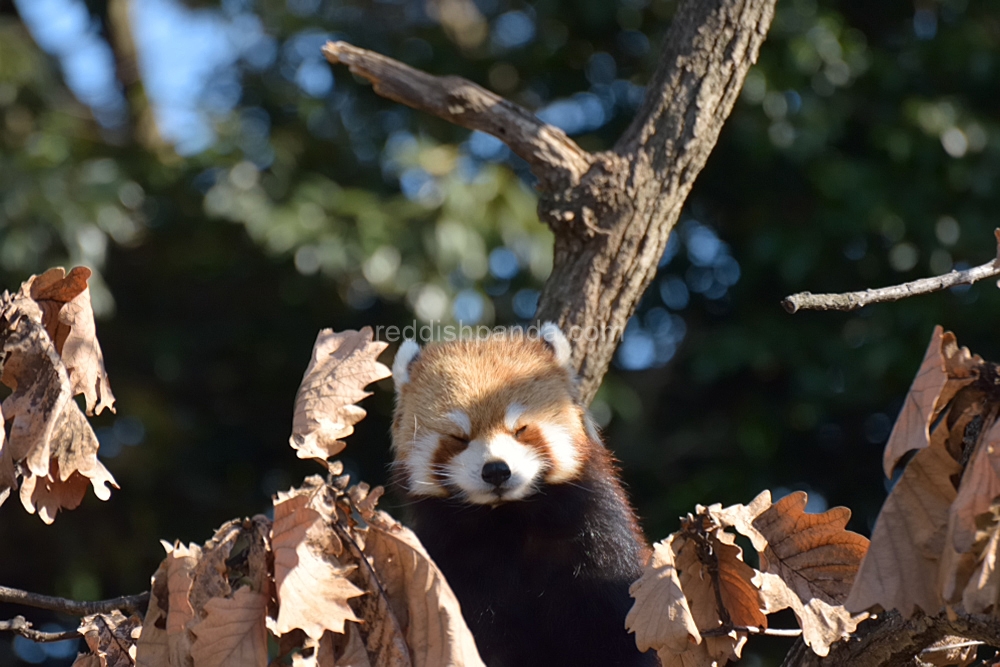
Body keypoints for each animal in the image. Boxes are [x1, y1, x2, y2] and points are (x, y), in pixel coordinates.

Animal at [394, 320, 660, 664]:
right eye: (459, 438)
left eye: (520, 430)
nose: (496, 470)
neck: (509, 520)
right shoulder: (455, 564)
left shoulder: (595, 538)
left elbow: (618, 628)